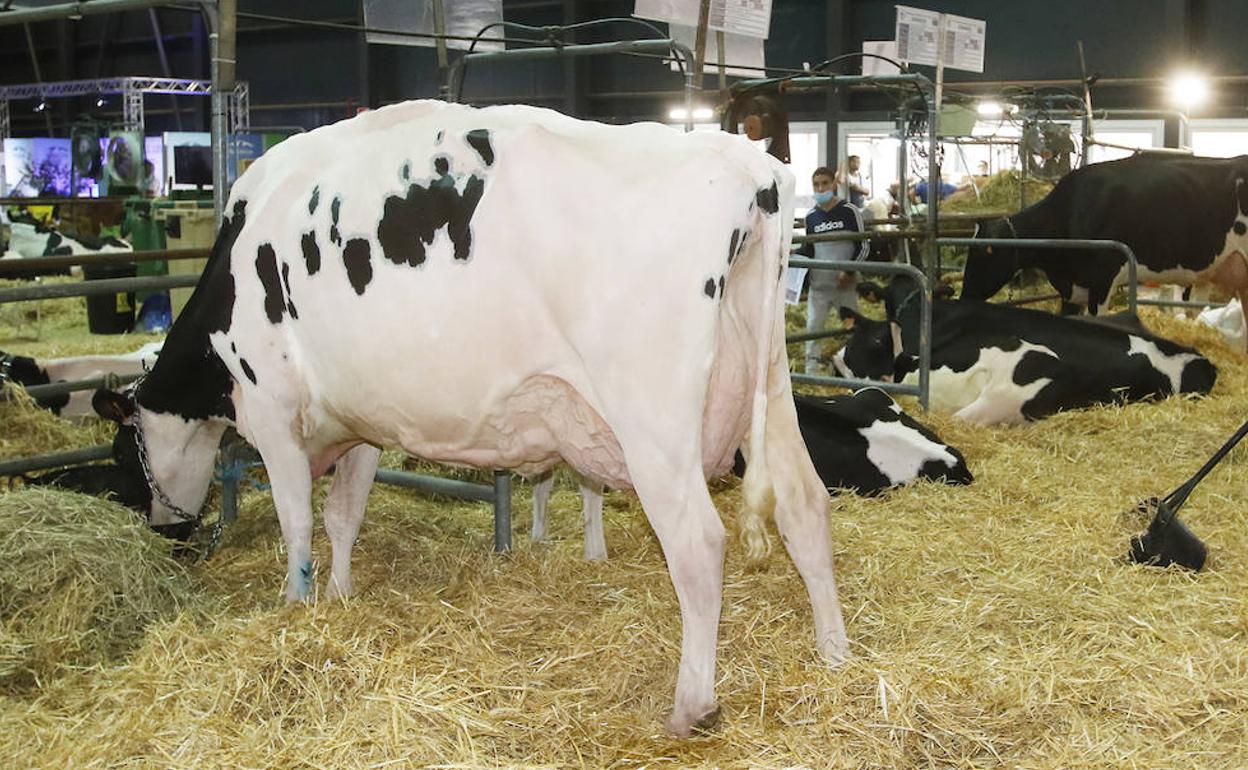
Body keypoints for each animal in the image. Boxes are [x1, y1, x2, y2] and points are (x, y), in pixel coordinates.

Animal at [87, 100, 848, 737]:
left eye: (125, 456)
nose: (165, 533)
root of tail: (746, 162)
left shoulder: (271, 408)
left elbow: (298, 521)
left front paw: (296, 604)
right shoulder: (365, 418)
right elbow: (343, 516)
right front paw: (339, 594)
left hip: (653, 419)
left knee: (698, 545)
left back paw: (693, 704)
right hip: (772, 384)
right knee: (805, 508)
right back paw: (835, 654)